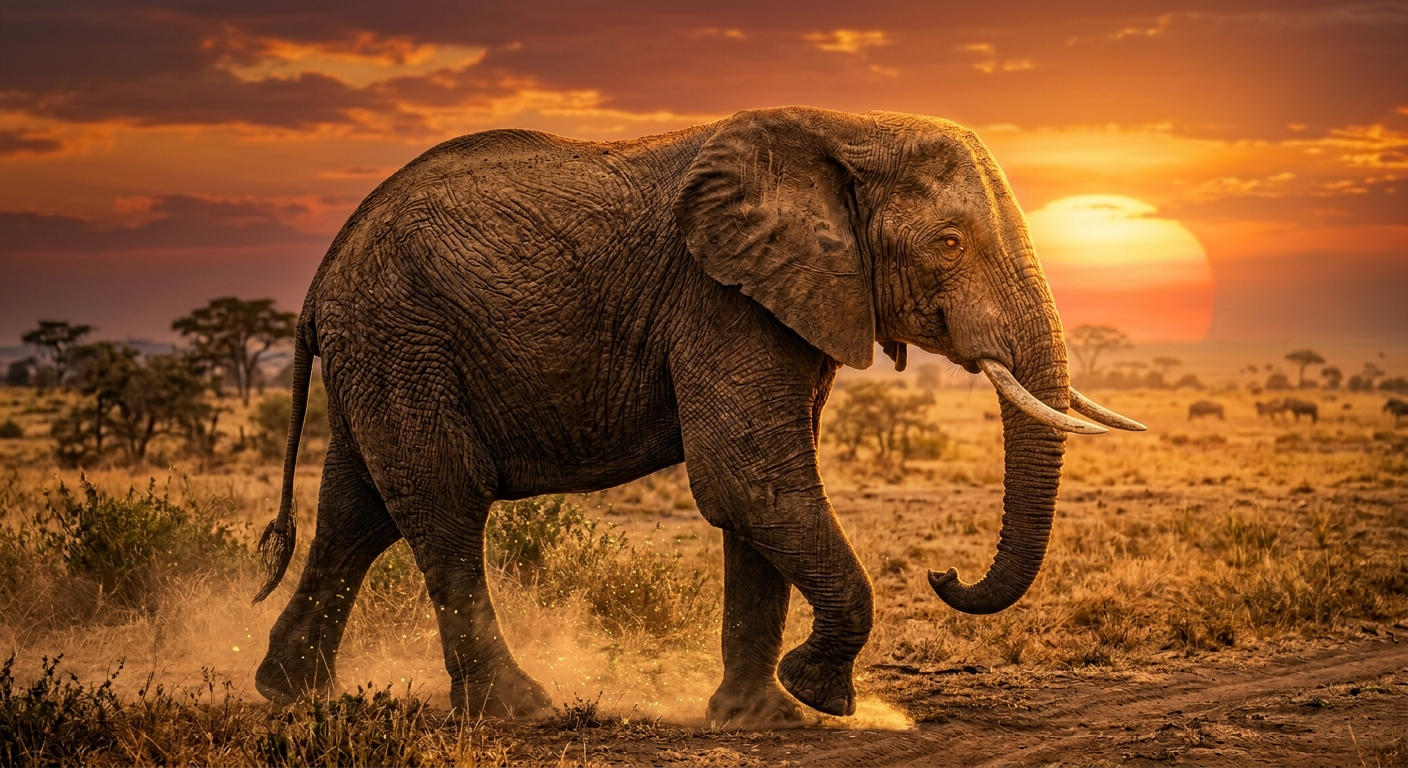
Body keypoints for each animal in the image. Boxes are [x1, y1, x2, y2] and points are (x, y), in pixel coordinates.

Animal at [250, 106, 1145, 727]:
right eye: (951, 243)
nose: (943, 575)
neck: (846, 130)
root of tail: (323, 272)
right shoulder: (721, 297)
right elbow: (750, 480)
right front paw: (821, 698)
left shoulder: (785, 297)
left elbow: (763, 494)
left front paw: (765, 717)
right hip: (403, 336)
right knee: (442, 504)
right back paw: (521, 711)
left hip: (381, 350)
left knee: (357, 512)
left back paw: (290, 694)